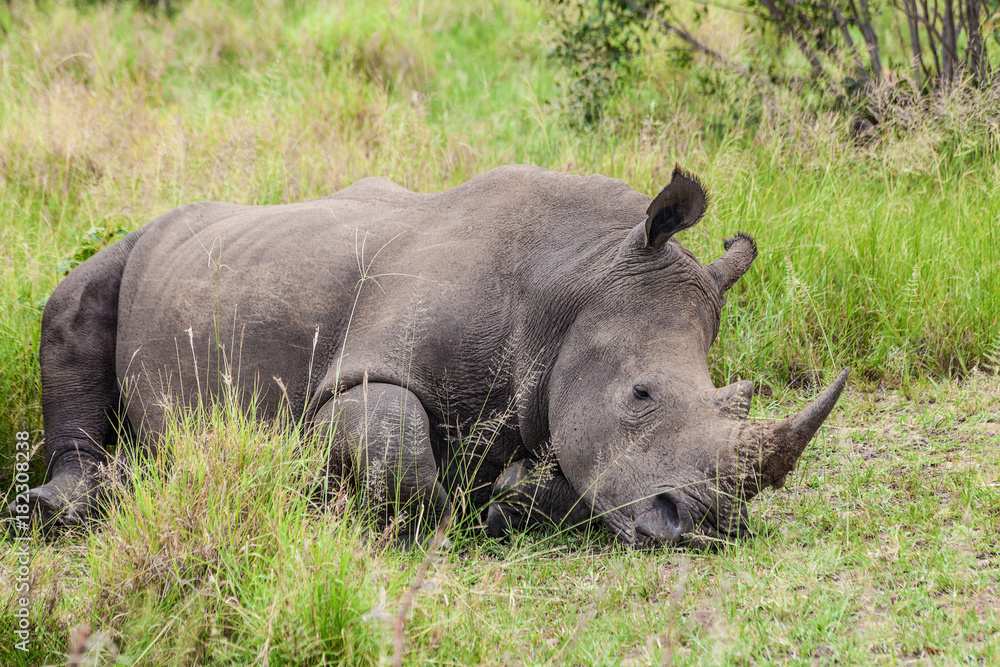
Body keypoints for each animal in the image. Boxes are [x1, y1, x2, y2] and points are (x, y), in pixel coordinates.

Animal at [10, 165, 847, 548]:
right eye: (641, 395)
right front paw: (373, 513)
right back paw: (70, 503)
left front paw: (505, 499)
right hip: (135, 249)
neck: (570, 285)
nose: (708, 524)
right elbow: (398, 441)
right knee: (74, 301)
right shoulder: (354, 377)